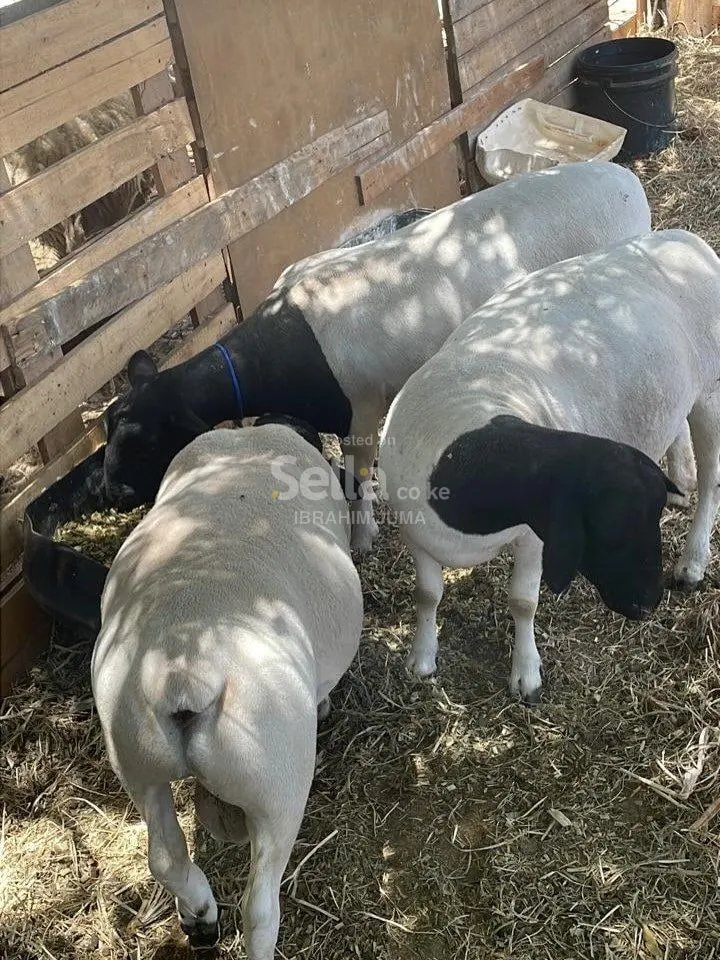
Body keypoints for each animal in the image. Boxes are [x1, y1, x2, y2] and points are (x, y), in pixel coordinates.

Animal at [91, 420, 363, 956]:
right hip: (277, 783)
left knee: (165, 856)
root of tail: (185, 669)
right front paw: (324, 704)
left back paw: (199, 914)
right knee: (259, 907)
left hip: (135, 762)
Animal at [101, 161, 668, 552]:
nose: (111, 493)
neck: (279, 346)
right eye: (109, 424)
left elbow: (358, 482)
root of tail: (624, 179)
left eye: (141, 438)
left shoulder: (363, 411)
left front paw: (363, 539)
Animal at [377, 229, 720, 701]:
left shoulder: (533, 539)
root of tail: (685, 238)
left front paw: (526, 675)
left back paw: (692, 562)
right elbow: (427, 594)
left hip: (711, 389)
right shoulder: (416, 535)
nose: (649, 602)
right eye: (605, 528)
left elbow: (523, 602)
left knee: (712, 479)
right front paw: (422, 659)